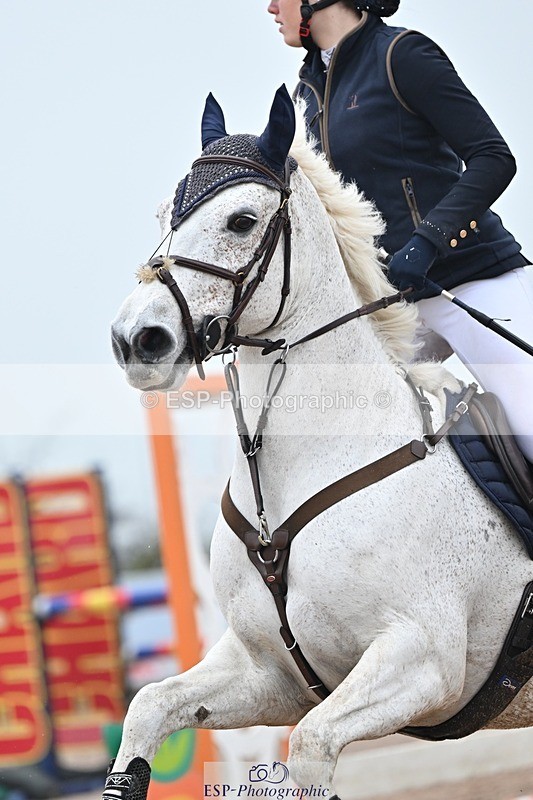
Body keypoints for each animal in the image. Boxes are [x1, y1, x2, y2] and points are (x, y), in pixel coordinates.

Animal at [108, 86, 533, 799]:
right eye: (166, 214)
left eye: (242, 221)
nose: (137, 341)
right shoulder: (269, 674)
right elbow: (148, 707)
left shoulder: (423, 661)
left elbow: (309, 745)